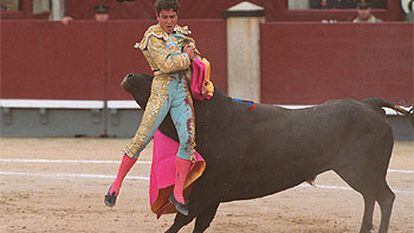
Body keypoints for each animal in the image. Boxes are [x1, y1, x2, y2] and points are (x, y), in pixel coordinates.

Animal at [121, 73, 412, 233]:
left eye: (166, 80)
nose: (130, 76)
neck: (214, 119)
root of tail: (370, 105)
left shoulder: (208, 189)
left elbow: (182, 220)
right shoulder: (211, 194)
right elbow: (198, 224)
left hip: (363, 170)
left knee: (384, 197)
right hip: (356, 172)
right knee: (370, 197)